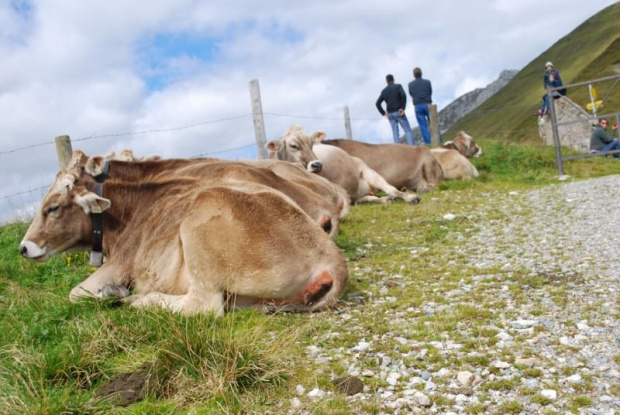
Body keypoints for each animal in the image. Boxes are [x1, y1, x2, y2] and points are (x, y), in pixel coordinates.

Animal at [266, 126, 422, 206]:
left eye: (312, 144)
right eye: (293, 146)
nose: (317, 165)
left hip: (369, 172)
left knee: (391, 189)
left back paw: (409, 197)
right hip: (357, 194)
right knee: (365, 199)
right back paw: (385, 199)